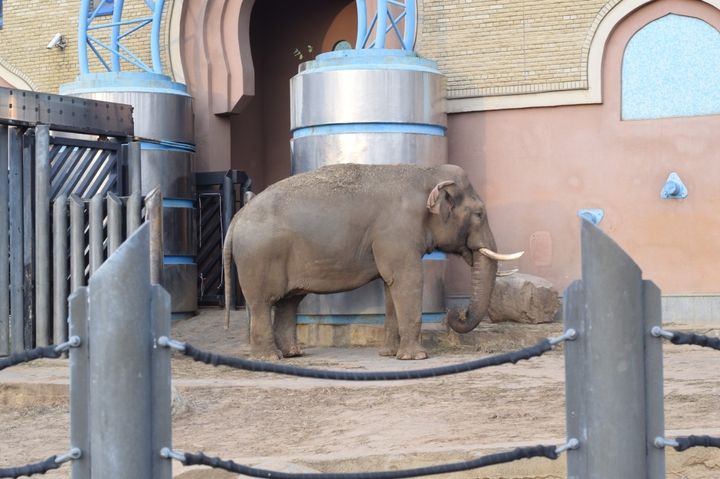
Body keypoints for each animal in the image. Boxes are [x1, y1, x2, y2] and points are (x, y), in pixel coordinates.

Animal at [223, 163, 522, 360]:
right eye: (479, 214)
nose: (456, 313)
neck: (427, 172)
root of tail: (237, 217)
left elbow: (391, 286)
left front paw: (389, 354)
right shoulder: (398, 232)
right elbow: (408, 279)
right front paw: (416, 357)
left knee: (289, 301)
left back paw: (293, 353)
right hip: (258, 257)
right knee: (262, 302)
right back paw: (269, 358)